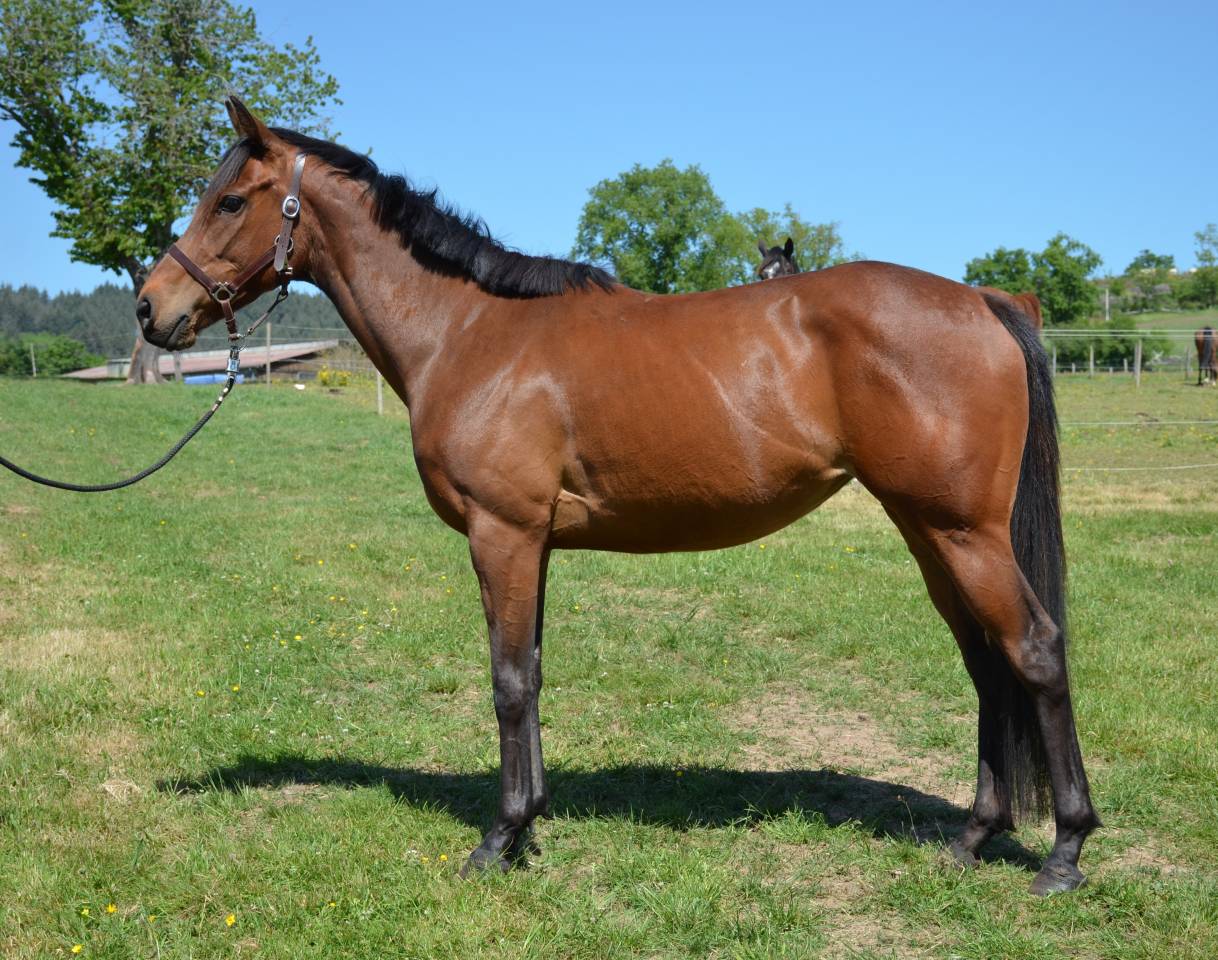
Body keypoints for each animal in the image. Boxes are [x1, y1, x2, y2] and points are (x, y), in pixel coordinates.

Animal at [135, 97, 1099, 894]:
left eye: (231, 201)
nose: (151, 307)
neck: (470, 331)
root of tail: (985, 299)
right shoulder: (533, 544)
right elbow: (532, 672)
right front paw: (530, 825)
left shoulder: (503, 534)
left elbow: (507, 681)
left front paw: (498, 840)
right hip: (929, 531)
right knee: (988, 663)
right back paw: (973, 838)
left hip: (964, 531)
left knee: (1035, 652)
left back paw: (1064, 852)